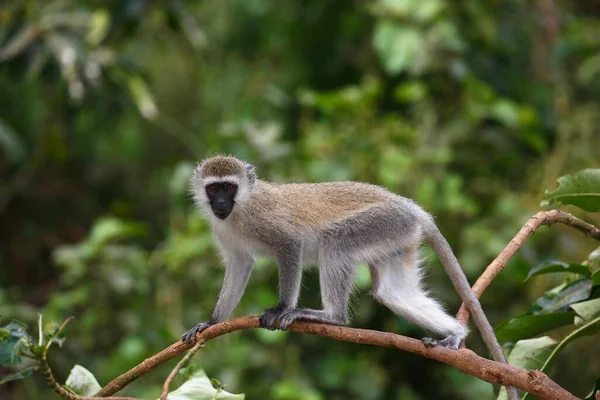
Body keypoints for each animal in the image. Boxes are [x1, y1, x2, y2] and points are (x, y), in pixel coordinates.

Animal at [182, 155, 506, 364]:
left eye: (229, 187)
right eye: (213, 188)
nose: (220, 203)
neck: (240, 209)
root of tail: (411, 207)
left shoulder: (267, 223)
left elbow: (290, 246)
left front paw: (281, 307)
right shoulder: (225, 234)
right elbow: (241, 264)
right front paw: (212, 322)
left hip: (383, 222)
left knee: (335, 244)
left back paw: (332, 316)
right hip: (399, 236)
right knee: (392, 293)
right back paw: (455, 334)